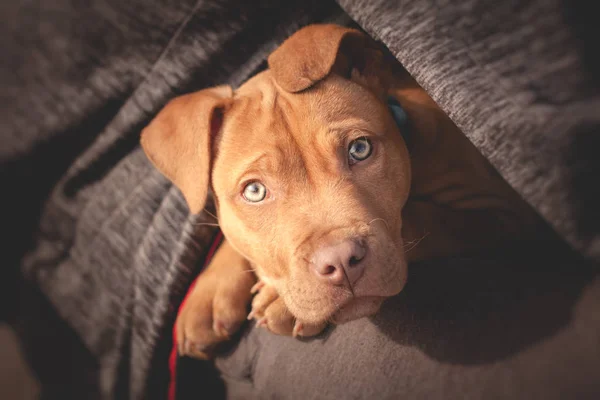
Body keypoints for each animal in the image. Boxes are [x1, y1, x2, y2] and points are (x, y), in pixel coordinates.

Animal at [141, 23, 536, 358]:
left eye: (359, 149)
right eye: (254, 191)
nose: (341, 262)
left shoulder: (502, 211)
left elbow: (420, 216)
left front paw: (281, 301)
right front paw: (209, 294)